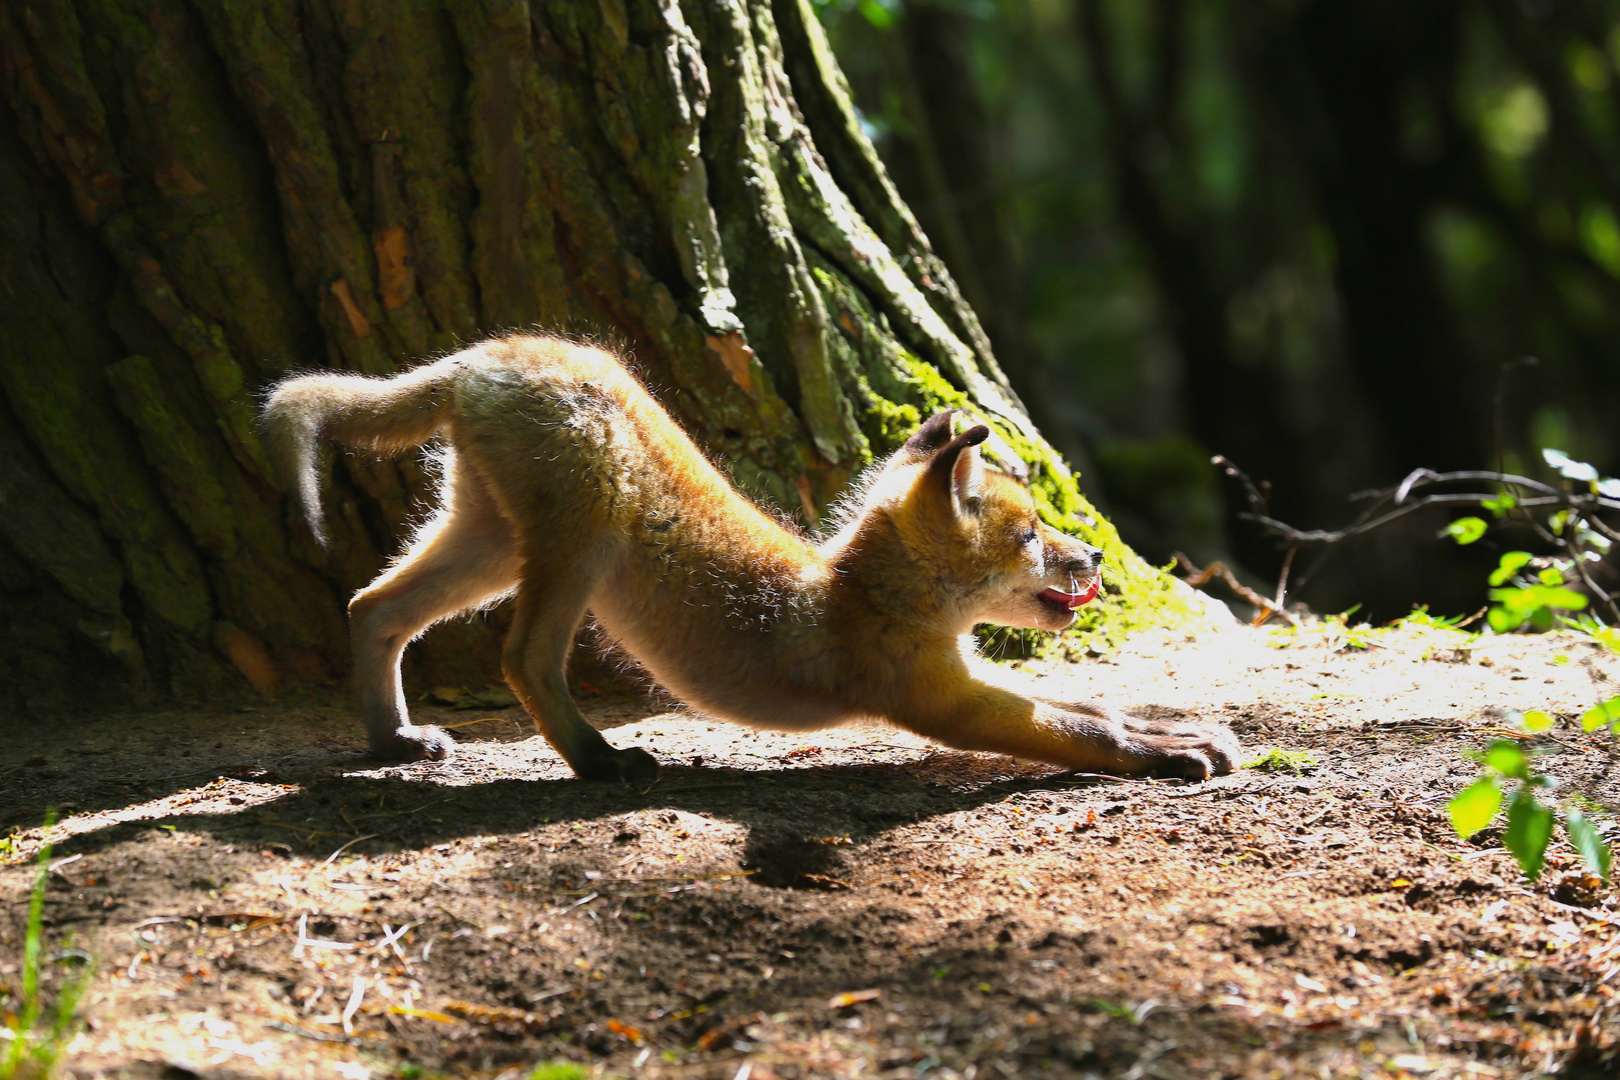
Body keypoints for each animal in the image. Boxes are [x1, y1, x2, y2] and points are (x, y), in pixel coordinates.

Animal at [262, 333, 1237, 780]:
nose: (1095, 560)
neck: (857, 597)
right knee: (523, 657)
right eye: (1032, 534)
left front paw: (1183, 731)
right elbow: (1087, 731)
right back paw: (600, 760)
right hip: (582, 535)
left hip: (488, 540)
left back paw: (391, 739)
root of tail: (481, 356)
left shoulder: (965, 675)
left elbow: (1094, 702)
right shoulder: (939, 699)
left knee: (371, 608)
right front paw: (1168, 754)